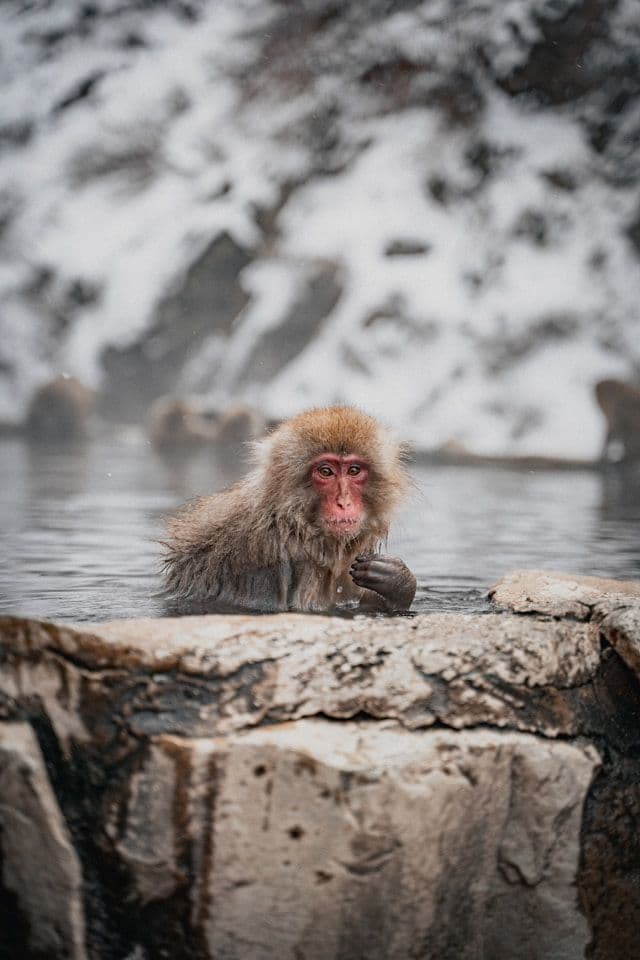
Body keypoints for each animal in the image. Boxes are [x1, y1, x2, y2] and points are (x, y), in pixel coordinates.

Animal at [161, 406, 416, 613]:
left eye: (354, 470)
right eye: (325, 471)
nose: (344, 502)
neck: (294, 524)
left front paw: (398, 582)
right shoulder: (267, 558)